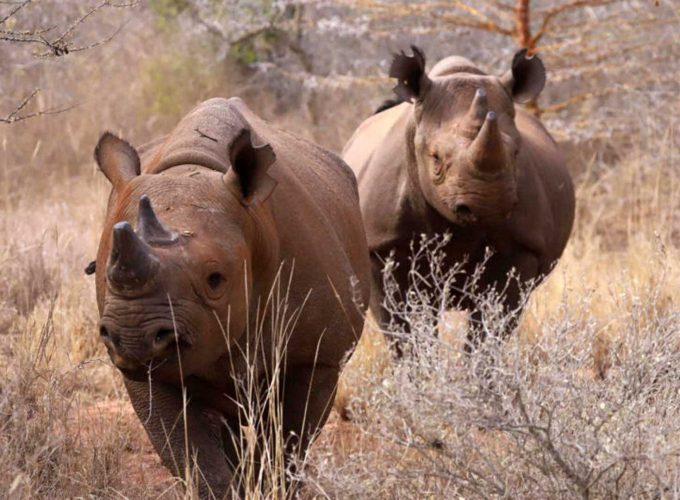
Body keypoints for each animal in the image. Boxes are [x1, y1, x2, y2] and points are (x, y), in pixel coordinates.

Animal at [92, 97, 370, 497]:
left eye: (215, 280)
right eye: (106, 273)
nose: (132, 337)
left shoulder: (318, 358)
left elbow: (287, 443)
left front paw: (270, 489)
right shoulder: (150, 374)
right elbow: (191, 456)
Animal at [343, 47, 575, 354]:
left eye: (515, 153)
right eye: (436, 159)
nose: (487, 203)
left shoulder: (523, 249)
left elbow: (490, 331)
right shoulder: (380, 248)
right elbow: (402, 331)